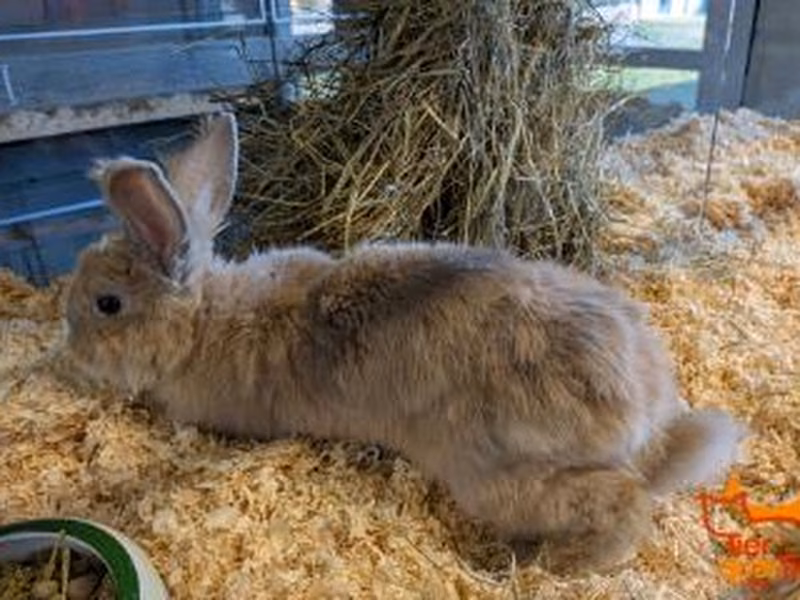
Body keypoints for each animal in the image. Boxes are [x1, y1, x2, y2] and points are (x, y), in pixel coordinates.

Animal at [63, 112, 745, 574]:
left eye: (106, 304)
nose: (68, 351)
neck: (203, 320)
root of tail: (649, 423)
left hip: (505, 480)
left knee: (628, 505)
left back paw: (561, 566)